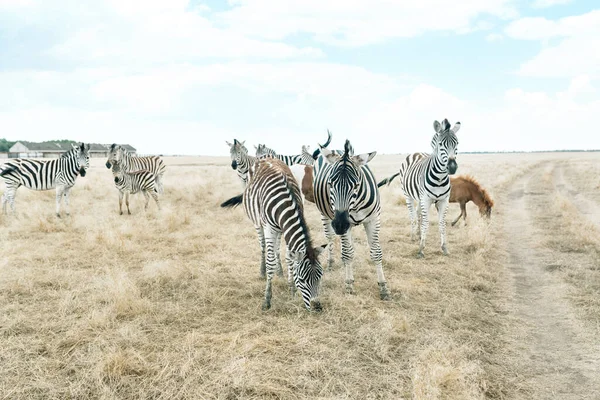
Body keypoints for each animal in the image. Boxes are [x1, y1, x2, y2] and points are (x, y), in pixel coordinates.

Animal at [220, 158, 326, 310]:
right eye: (302, 279)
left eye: (320, 276)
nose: (317, 307)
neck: (285, 204)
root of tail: (266, 158)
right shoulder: (269, 228)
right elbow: (270, 263)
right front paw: (267, 299)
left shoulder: (286, 228)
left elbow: (289, 258)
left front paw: (292, 290)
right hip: (258, 223)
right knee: (263, 246)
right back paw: (262, 272)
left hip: (279, 229)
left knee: (276, 248)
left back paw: (280, 272)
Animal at [312, 139, 392, 298]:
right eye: (330, 184)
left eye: (356, 185)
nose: (339, 225)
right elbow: (348, 253)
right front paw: (349, 284)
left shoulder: (373, 219)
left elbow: (376, 252)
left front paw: (383, 287)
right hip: (325, 215)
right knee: (331, 238)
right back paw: (331, 262)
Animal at [380, 117, 460, 258]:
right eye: (440, 144)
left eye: (457, 144)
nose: (452, 167)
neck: (439, 178)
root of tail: (416, 152)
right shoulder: (426, 200)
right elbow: (426, 223)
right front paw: (421, 249)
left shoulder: (444, 201)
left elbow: (442, 223)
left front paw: (444, 248)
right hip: (409, 196)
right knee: (412, 215)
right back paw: (413, 235)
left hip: (420, 198)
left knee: (418, 213)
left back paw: (418, 234)